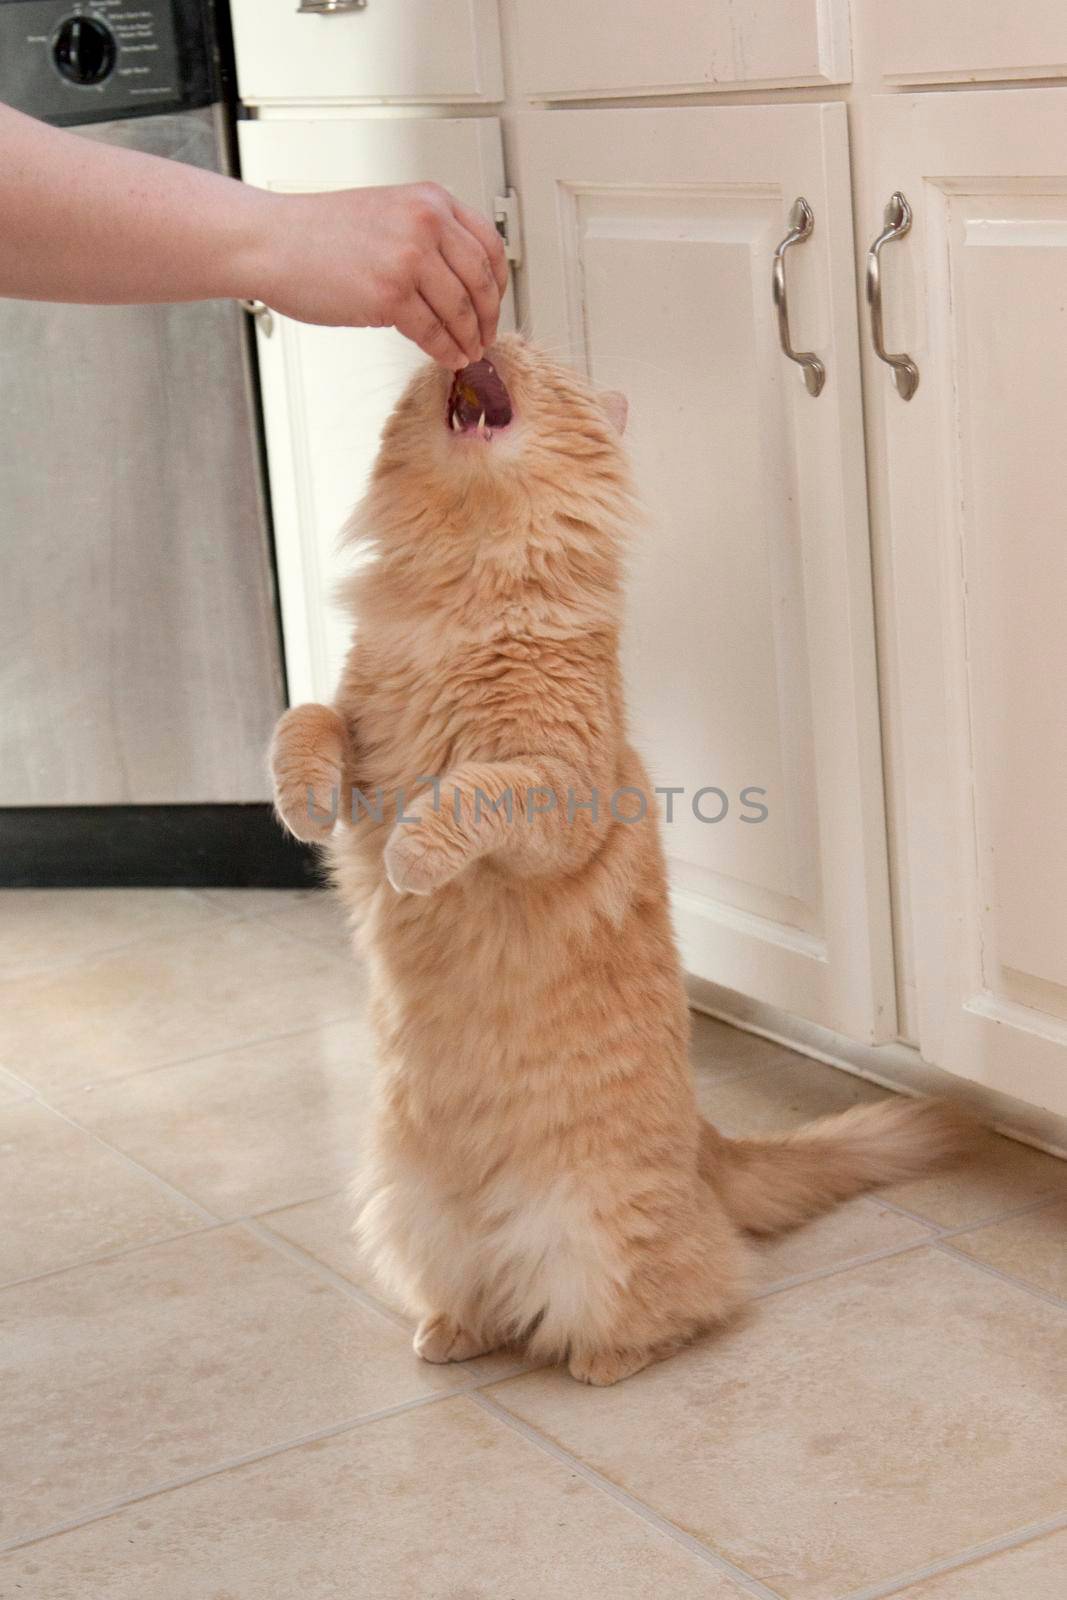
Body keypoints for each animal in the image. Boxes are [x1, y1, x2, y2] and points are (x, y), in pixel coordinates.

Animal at [268, 334, 979, 1388]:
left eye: (534, 355)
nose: (491, 334)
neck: (467, 579)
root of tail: (705, 1147)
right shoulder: (362, 733)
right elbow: (305, 724)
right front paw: (299, 804)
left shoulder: (557, 786)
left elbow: (472, 792)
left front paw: (416, 854)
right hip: (405, 1213)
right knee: (490, 1298)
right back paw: (451, 1331)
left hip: (598, 1231)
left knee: (700, 1298)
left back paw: (603, 1360)